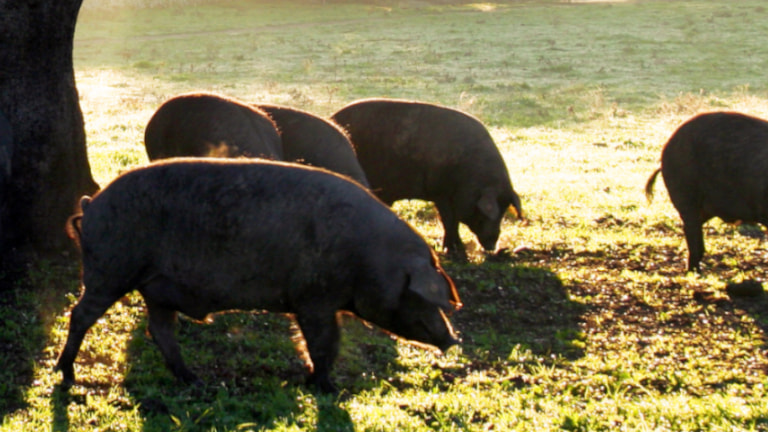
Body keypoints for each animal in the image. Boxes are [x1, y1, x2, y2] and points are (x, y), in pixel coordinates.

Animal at [57, 158, 462, 392]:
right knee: (80, 315)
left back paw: (196, 382)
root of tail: (90, 205)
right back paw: (66, 375)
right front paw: (325, 388)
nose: (452, 339)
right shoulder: (312, 298)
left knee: (159, 330)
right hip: (110, 270)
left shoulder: (322, 303)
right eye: (420, 295)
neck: (369, 257)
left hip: (155, 287)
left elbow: (329, 343)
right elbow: (323, 343)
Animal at [330, 98, 520, 260]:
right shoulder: (441, 193)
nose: (492, 246)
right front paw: (457, 253)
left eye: (504, 210)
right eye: (487, 212)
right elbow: (449, 221)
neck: (471, 178)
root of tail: (332, 117)